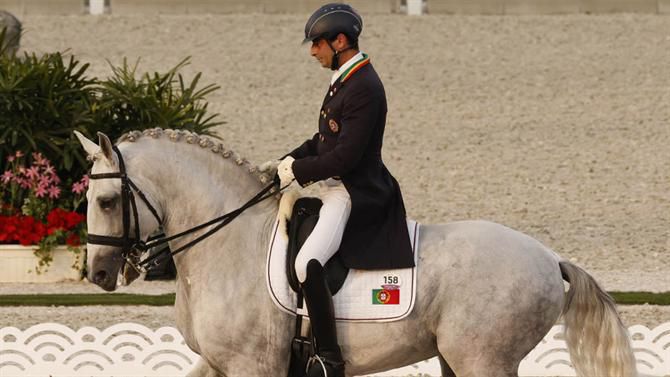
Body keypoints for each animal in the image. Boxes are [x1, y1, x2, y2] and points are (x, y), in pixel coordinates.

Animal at [76, 129, 636, 376]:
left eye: (106, 201)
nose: (98, 274)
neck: (227, 244)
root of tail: (548, 257)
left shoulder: (251, 366)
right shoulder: (218, 365)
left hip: (484, 361)